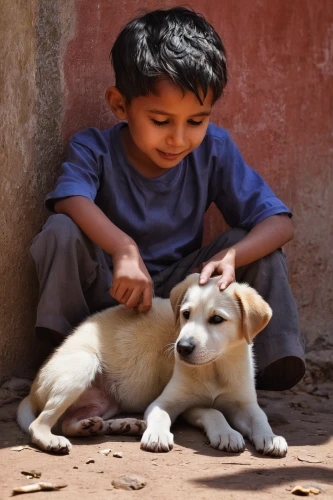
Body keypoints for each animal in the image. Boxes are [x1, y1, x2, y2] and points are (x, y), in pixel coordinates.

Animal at [16, 274, 286, 458]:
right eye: (185, 314)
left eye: (217, 319)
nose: (182, 348)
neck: (215, 368)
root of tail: (34, 387)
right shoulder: (178, 404)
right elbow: (211, 411)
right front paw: (224, 433)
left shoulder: (244, 403)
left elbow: (260, 417)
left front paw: (270, 438)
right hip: (83, 364)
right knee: (39, 424)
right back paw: (55, 440)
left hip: (106, 402)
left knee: (69, 422)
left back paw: (106, 425)